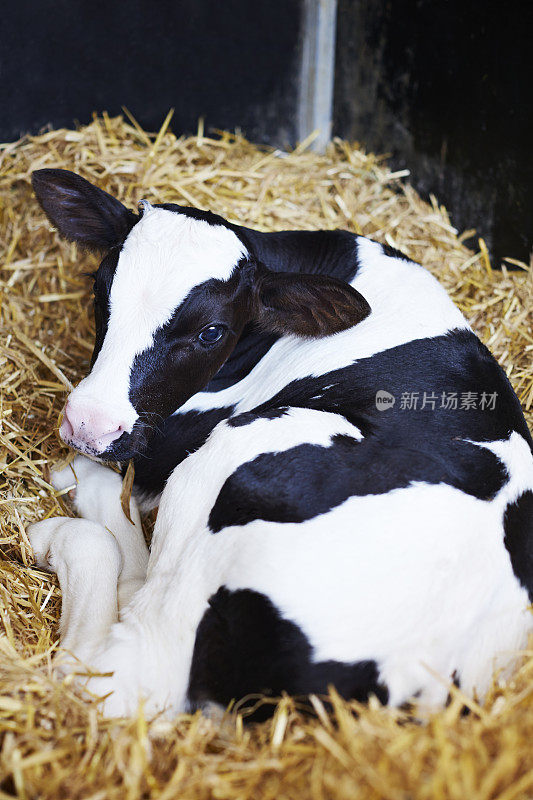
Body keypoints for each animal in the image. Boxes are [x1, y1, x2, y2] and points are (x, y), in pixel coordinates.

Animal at [28, 169, 532, 720]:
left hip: (234, 463)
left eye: (211, 332)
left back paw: (58, 526)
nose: (89, 424)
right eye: (100, 288)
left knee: (114, 665)